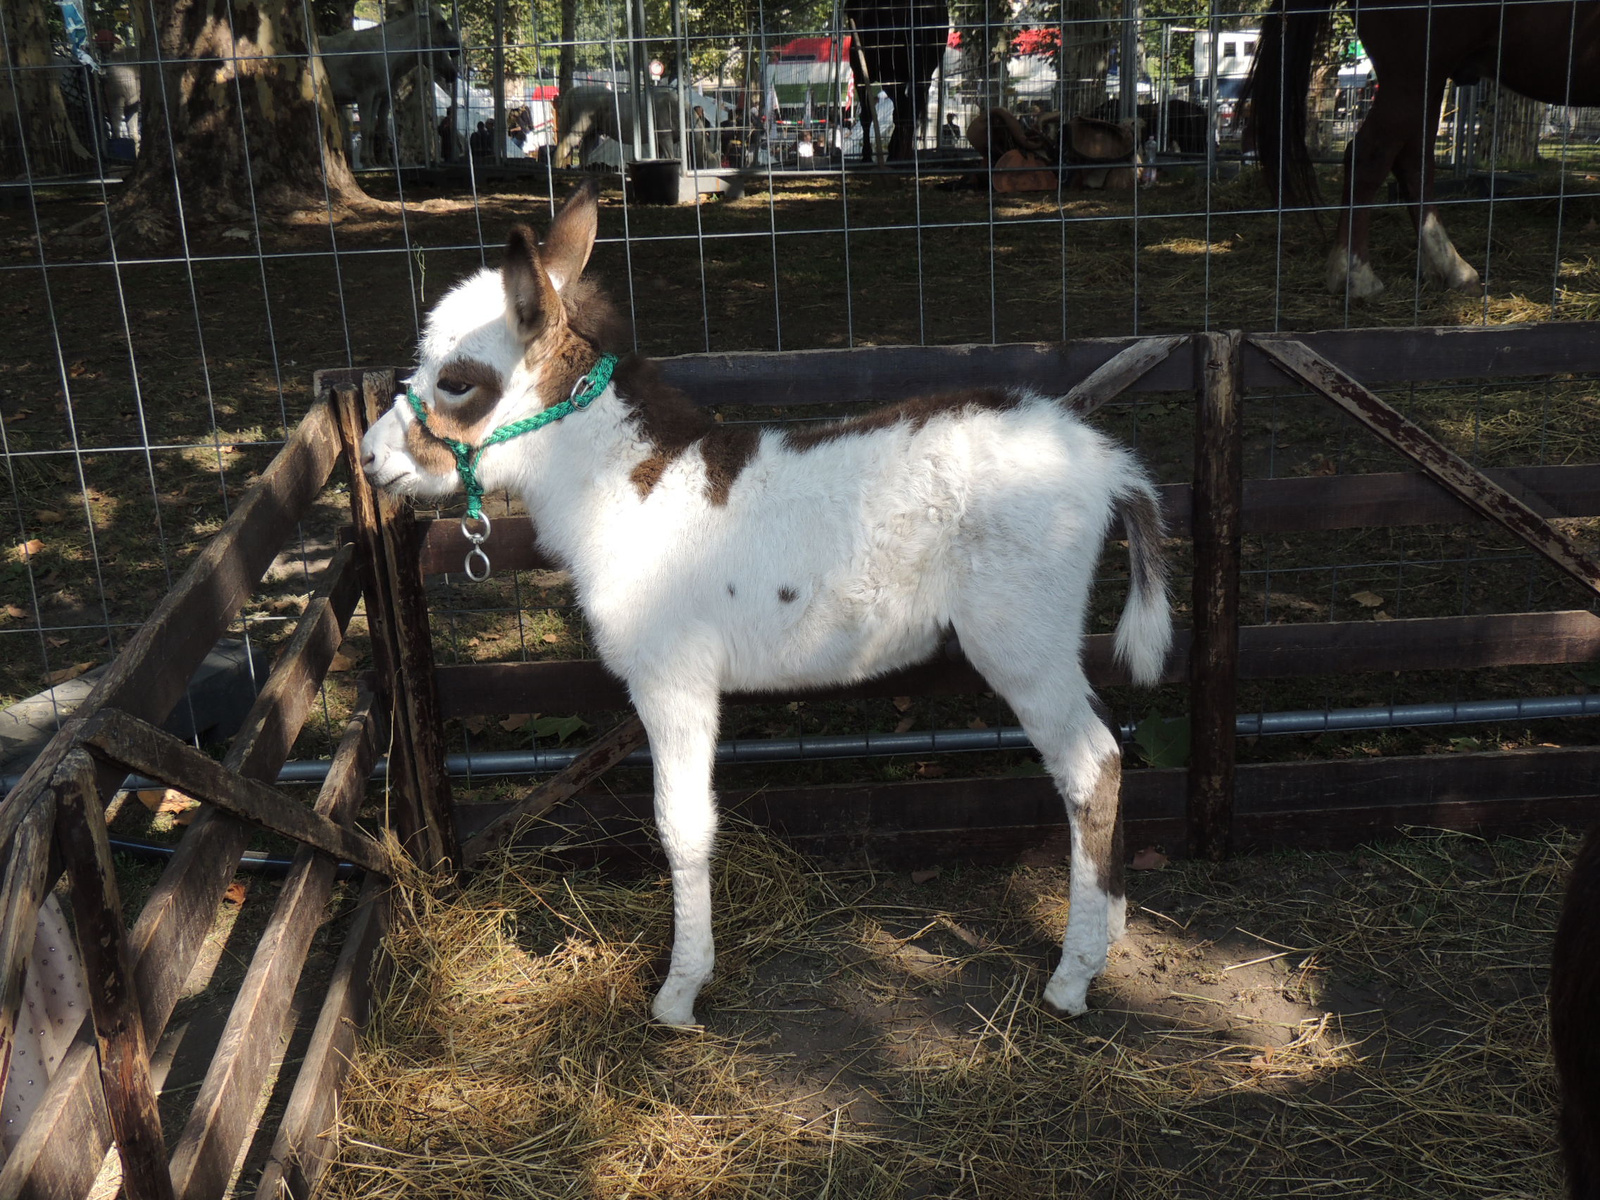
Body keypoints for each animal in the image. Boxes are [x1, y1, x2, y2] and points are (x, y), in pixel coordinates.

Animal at [363, 183, 1177, 1030]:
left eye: (458, 382)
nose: (366, 456)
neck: (628, 494)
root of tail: (1104, 460)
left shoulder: (673, 681)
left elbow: (682, 826)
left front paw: (680, 992)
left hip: (1019, 641)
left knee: (1090, 765)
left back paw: (1073, 977)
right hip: (1050, 640)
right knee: (1108, 743)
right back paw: (1110, 924)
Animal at [844, 0, 940, 163]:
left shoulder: (860, 73)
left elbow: (866, 115)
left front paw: (866, 155)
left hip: (890, 72)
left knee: (902, 108)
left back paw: (896, 152)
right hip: (923, 70)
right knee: (911, 106)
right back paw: (901, 152)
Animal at [1248, 0, 1600, 299]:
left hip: (1429, 80)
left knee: (1414, 162)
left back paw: (1450, 270)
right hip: (1412, 74)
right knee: (1370, 155)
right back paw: (1356, 277)